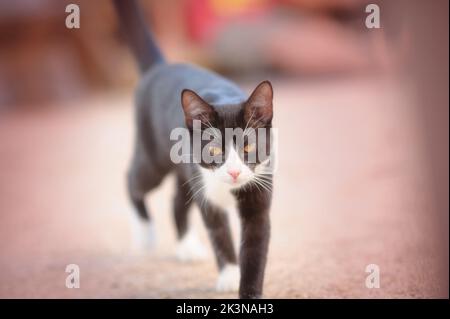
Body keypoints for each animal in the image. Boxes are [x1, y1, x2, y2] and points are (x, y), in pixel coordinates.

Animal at [112, 0, 274, 300]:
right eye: (214, 151)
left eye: (248, 145)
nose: (234, 172)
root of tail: (161, 67)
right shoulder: (206, 192)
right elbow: (219, 232)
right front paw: (229, 274)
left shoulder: (260, 189)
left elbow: (255, 246)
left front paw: (249, 291)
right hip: (154, 158)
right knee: (133, 179)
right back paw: (144, 232)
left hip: (185, 169)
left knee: (177, 200)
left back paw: (187, 247)